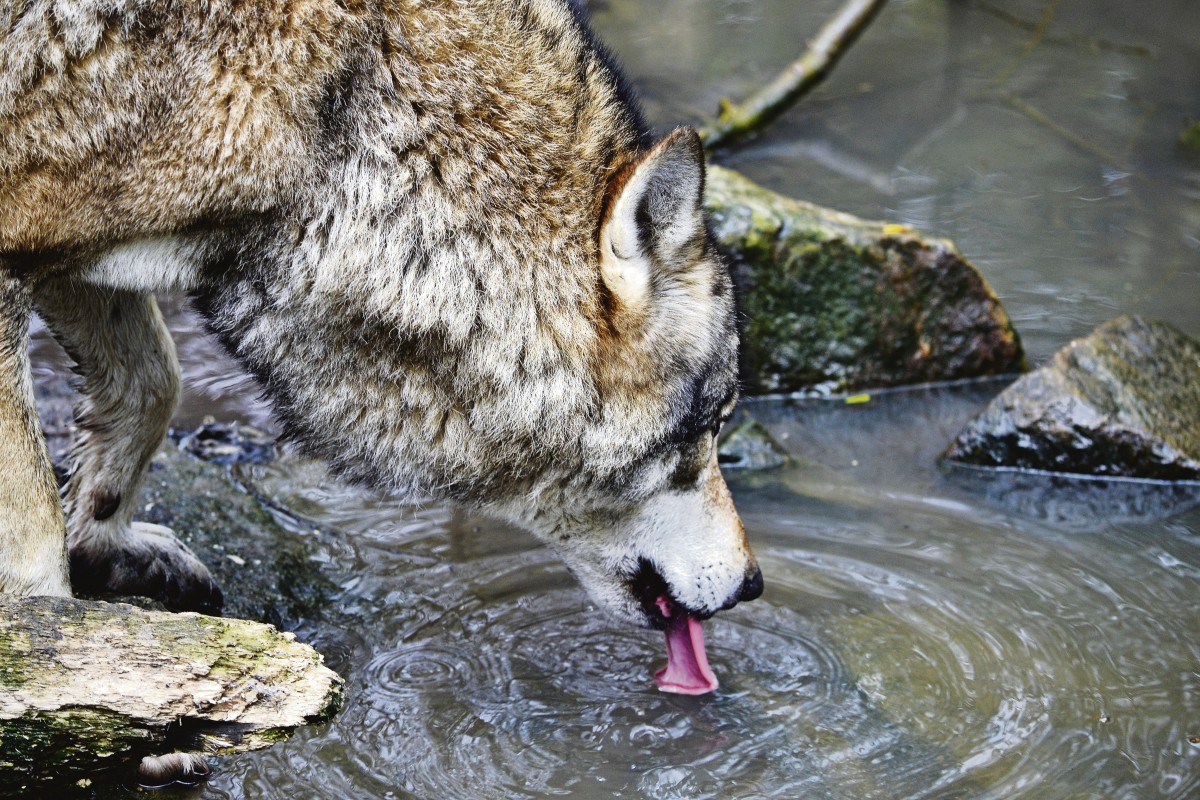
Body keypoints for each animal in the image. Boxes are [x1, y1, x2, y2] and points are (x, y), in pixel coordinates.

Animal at [0, 0, 762, 695]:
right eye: (711, 425)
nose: (753, 585)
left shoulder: (74, 253)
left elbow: (154, 386)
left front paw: (103, 549)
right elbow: (35, 538)